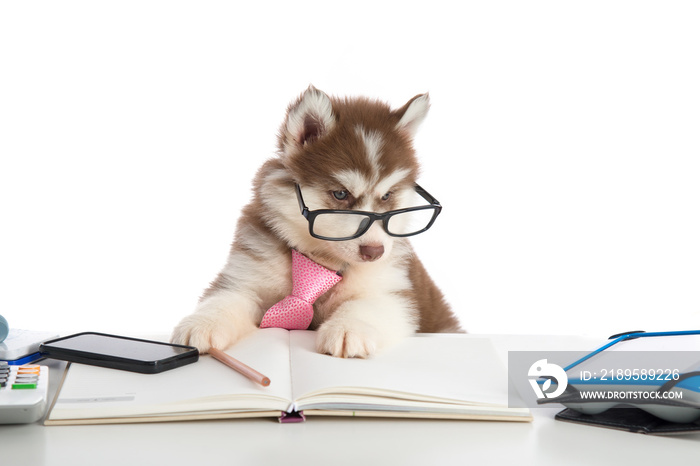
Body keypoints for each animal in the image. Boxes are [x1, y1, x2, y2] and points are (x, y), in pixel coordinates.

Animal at [172, 86, 462, 356]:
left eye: (387, 195)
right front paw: (202, 324)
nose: (374, 252)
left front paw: (348, 328)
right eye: (341, 194)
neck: (321, 260)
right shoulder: (245, 278)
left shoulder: (395, 291)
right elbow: (226, 299)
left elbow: (367, 305)